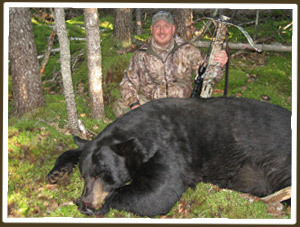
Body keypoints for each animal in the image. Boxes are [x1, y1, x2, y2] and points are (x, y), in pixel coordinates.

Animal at [47, 96, 290, 216]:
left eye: (103, 174)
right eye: (84, 175)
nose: (88, 199)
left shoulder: (174, 150)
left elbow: (159, 193)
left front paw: (92, 206)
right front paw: (57, 172)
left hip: (278, 161)